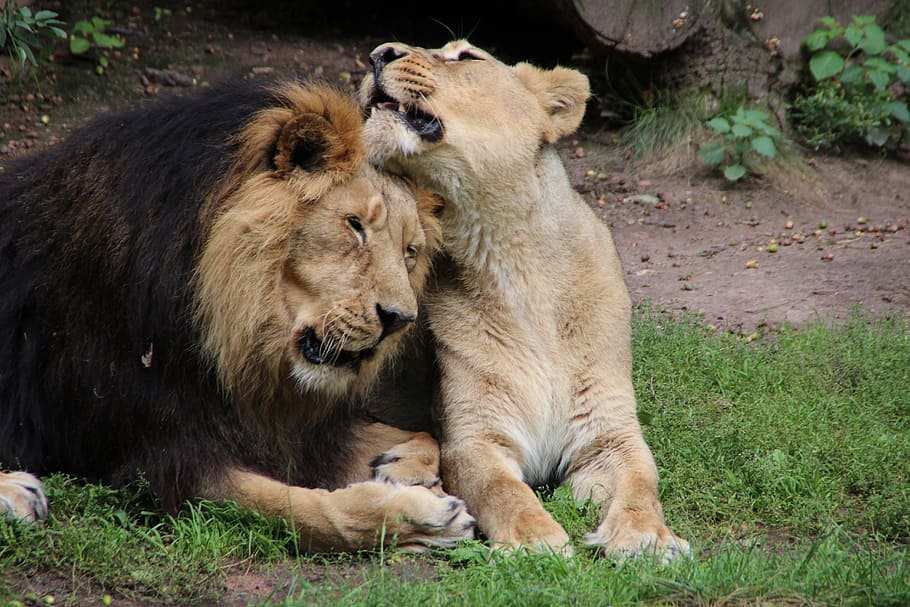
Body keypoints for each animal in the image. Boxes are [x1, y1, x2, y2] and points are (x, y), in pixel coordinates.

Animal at [0, 80, 474, 551]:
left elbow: (427, 436)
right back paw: (19, 493)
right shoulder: (163, 450)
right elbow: (303, 509)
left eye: (410, 252)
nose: (399, 318)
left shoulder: (295, 428)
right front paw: (423, 517)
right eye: (354, 225)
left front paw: (402, 467)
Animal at [360, 40, 690, 561]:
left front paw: (647, 538)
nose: (377, 53)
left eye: (466, 57)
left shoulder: (609, 430)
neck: (512, 260)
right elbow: (501, 489)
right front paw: (536, 540)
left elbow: (642, 482)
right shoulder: (477, 434)